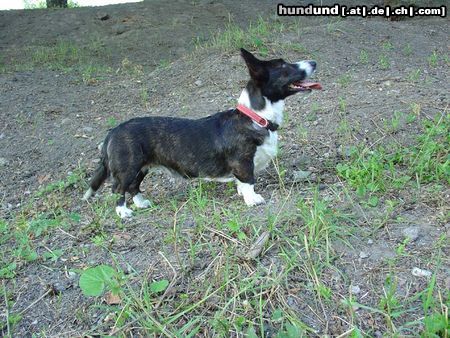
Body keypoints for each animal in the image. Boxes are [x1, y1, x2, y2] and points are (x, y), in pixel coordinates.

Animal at [82, 48, 322, 218]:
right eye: (284, 66)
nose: (314, 62)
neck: (255, 117)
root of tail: (113, 131)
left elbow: (241, 183)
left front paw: (242, 193)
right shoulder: (243, 162)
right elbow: (249, 181)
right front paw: (252, 199)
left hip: (142, 167)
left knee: (133, 187)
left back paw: (141, 203)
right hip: (129, 166)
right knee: (118, 188)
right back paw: (123, 212)